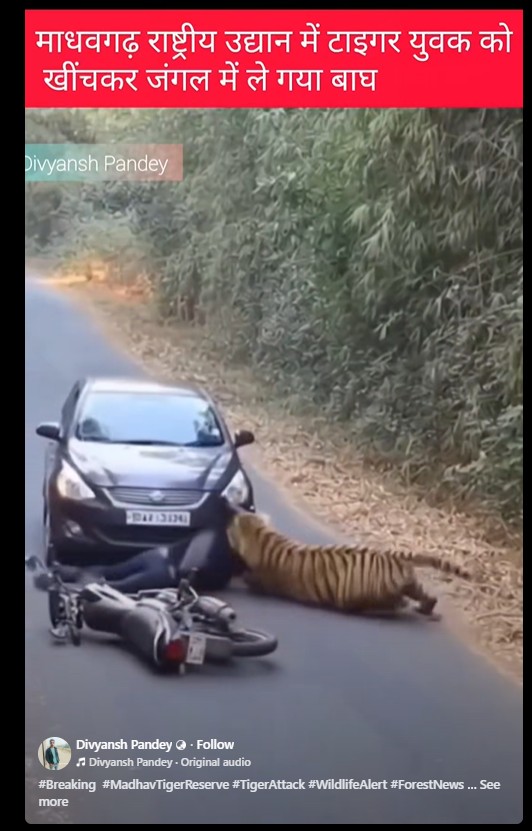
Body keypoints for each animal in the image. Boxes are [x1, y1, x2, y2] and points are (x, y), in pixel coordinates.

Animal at [222, 501, 472, 618]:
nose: (226, 524)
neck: (264, 536)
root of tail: (391, 554)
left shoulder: (261, 578)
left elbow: (251, 579)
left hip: (361, 595)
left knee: (387, 605)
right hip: (411, 583)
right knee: (427, 597)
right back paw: (425, 610)